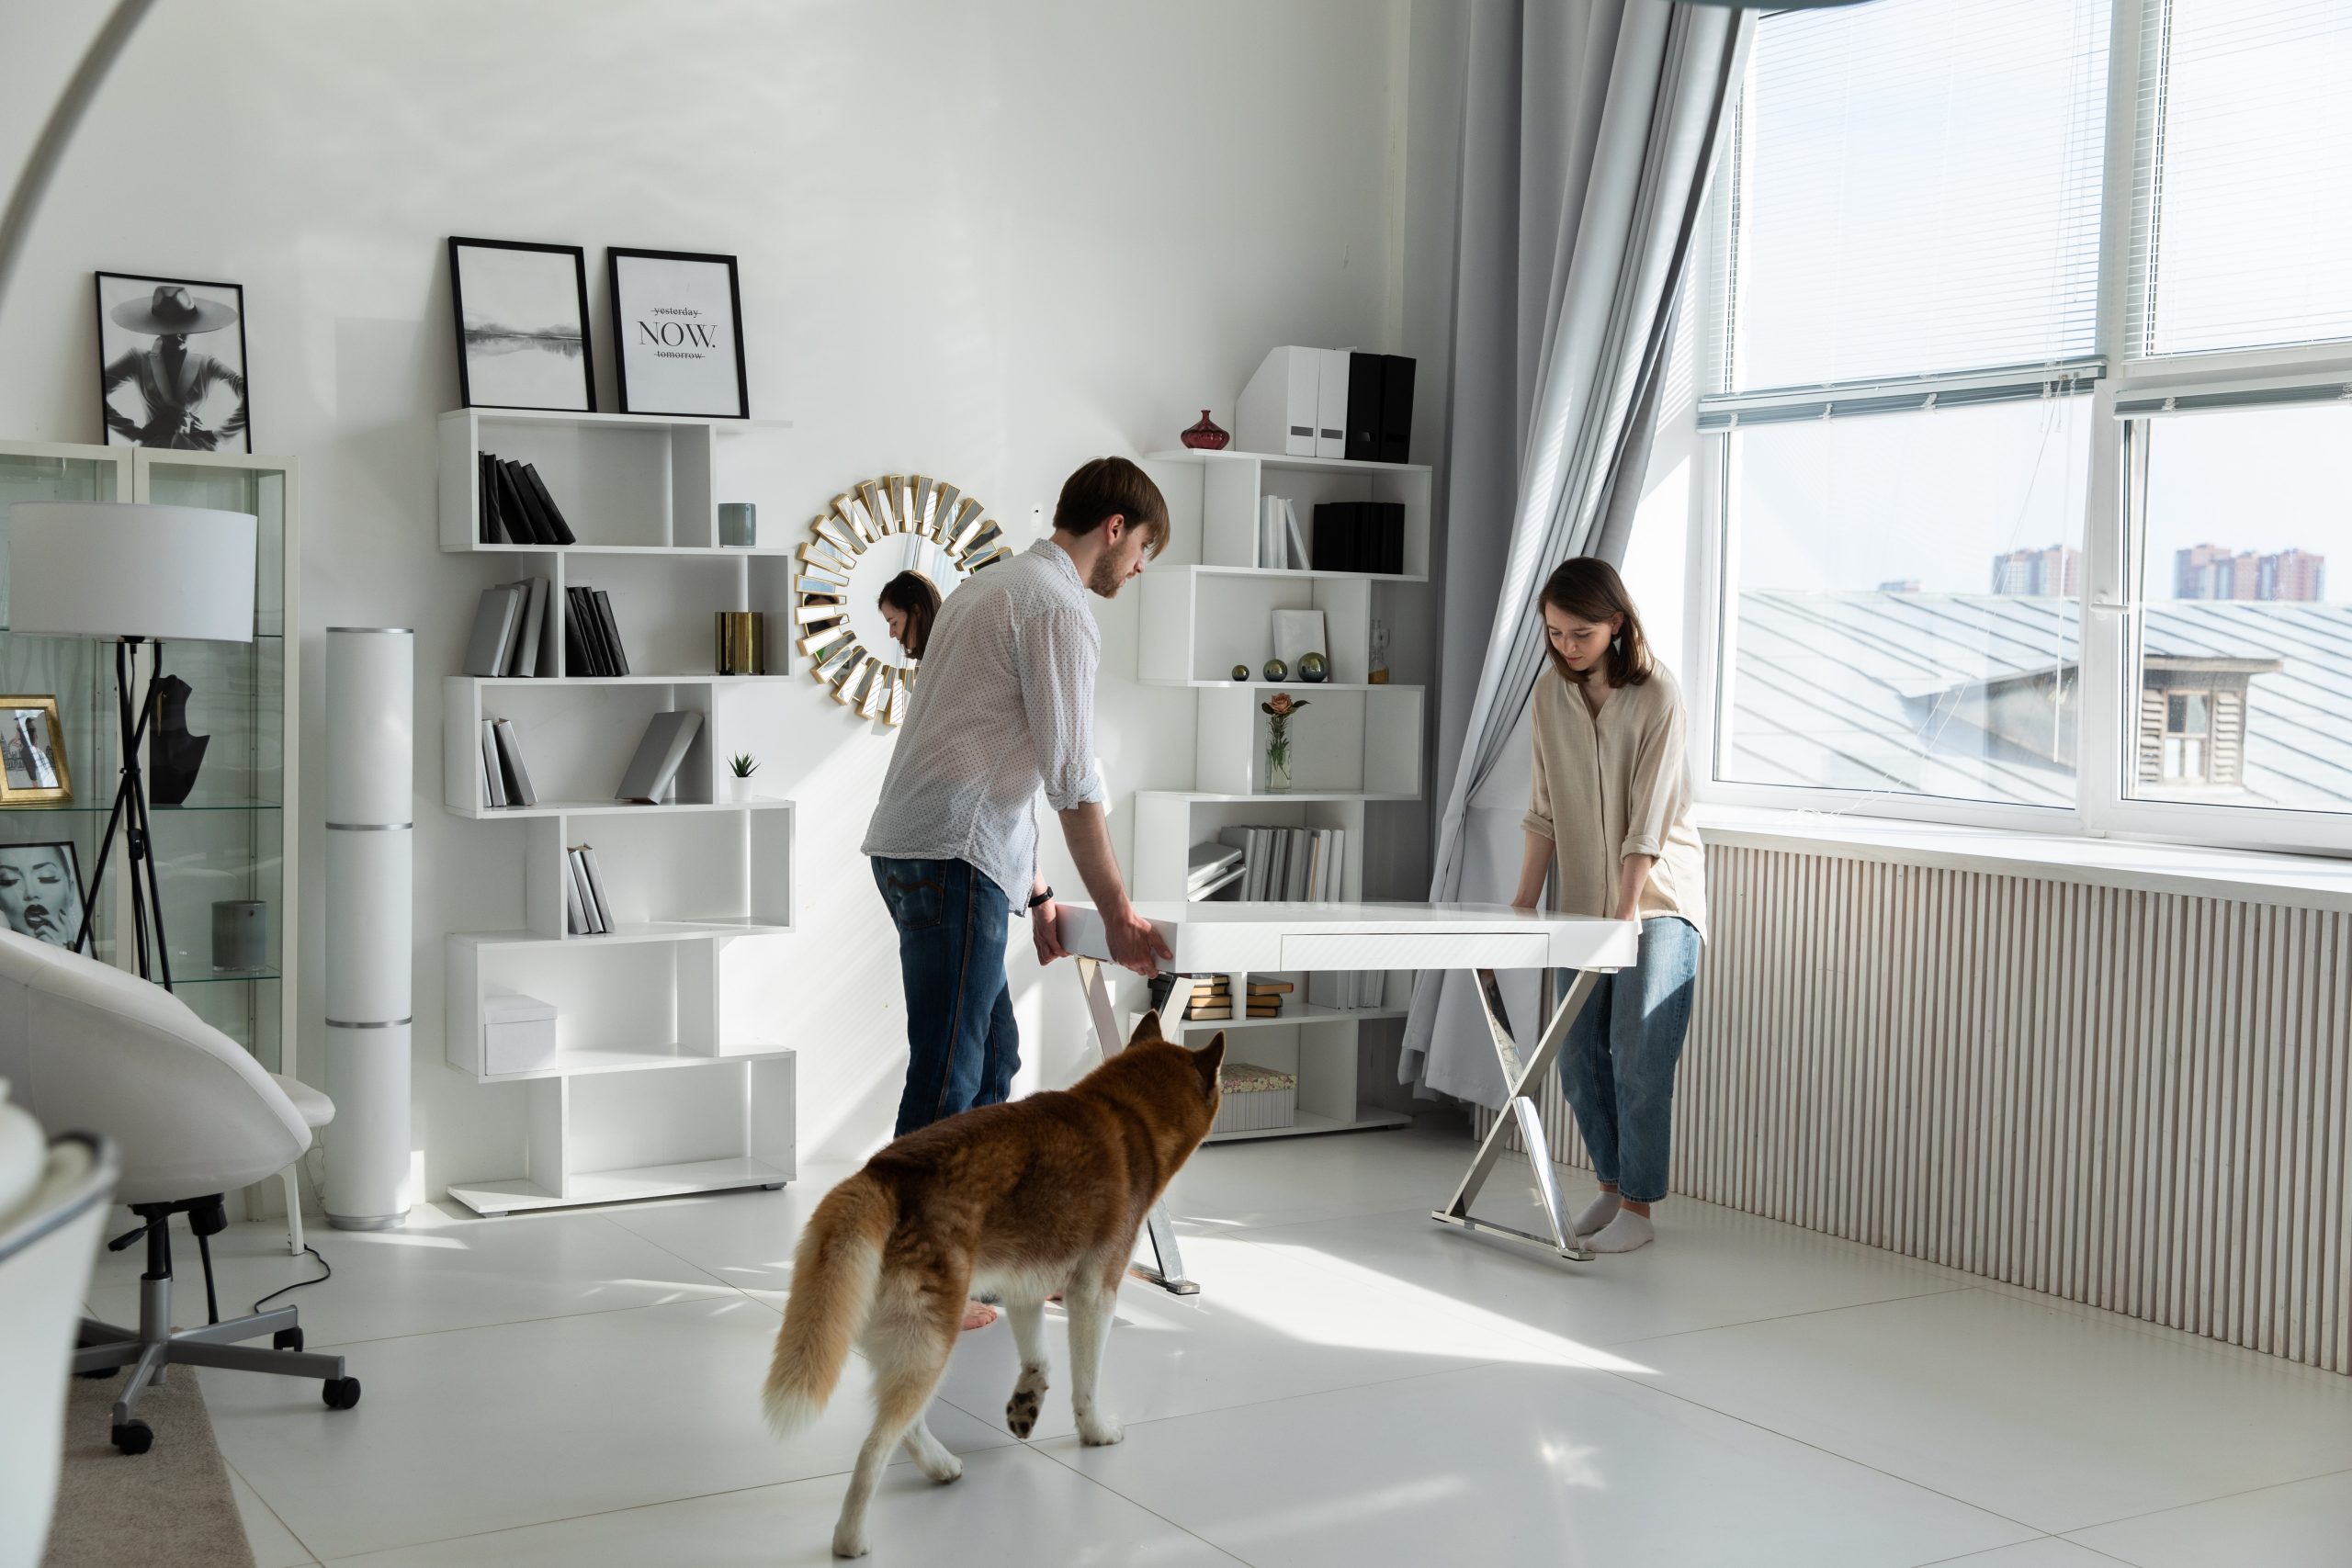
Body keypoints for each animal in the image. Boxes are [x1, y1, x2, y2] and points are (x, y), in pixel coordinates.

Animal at [762, 1010, 1232, 1561]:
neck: (1128, 1113)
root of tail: (884, 1173)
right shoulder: (1096, 1292)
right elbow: (1087, 1382)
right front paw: (1095, 1431)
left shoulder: (1025, 1285)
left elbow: (1039, 1358)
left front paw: (1027, 1401)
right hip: (931, 1342)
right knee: (875, 1446)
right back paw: (851, 1538)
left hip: (905, 1343)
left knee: (906, 1425)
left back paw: (941, 1465)